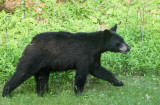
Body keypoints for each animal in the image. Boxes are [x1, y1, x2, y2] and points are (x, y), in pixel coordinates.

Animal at [2, 24, 130, 97]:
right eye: (119, 42)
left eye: (123, 39)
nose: (129, 48)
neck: (95, 47)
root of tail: (30, 42)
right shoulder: (84, 56)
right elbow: (81, 74)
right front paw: (78, 94)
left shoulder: (94, 57)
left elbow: (99, 70)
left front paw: (118, 82)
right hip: (33, 58)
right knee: (21, 73)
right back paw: (6, 93)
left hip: (44, 67)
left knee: (42, 79)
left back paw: (43, 94)